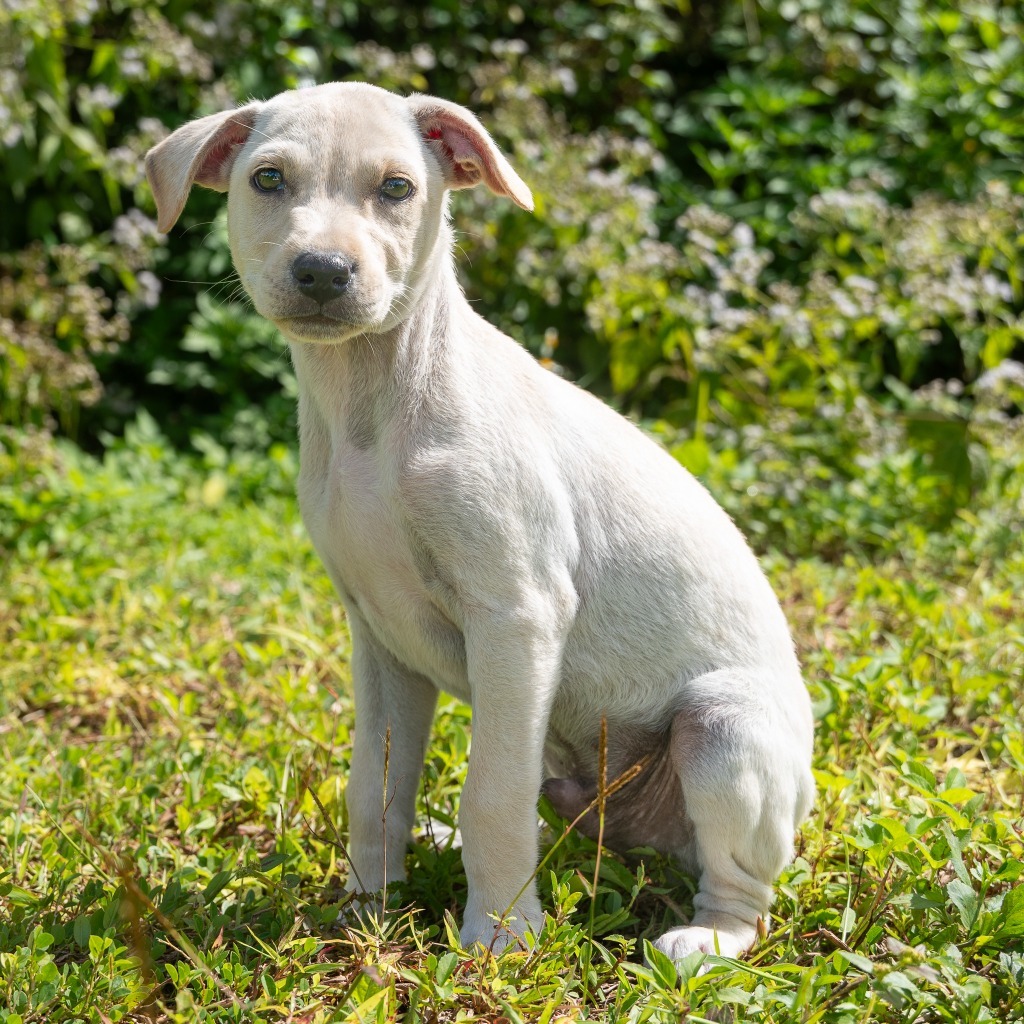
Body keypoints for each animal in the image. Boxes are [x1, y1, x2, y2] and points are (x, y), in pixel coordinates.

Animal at [144, 83, 815, 962]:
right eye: (268, 179)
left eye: (397, 188)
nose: (322, 271)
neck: (375, 412)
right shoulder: (380, 639)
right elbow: (376, 786)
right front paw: (366, 906)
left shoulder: (518, 615)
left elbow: (492, 791)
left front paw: (499, 938)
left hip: (723, 729)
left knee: (743, 890)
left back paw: (702, 940)